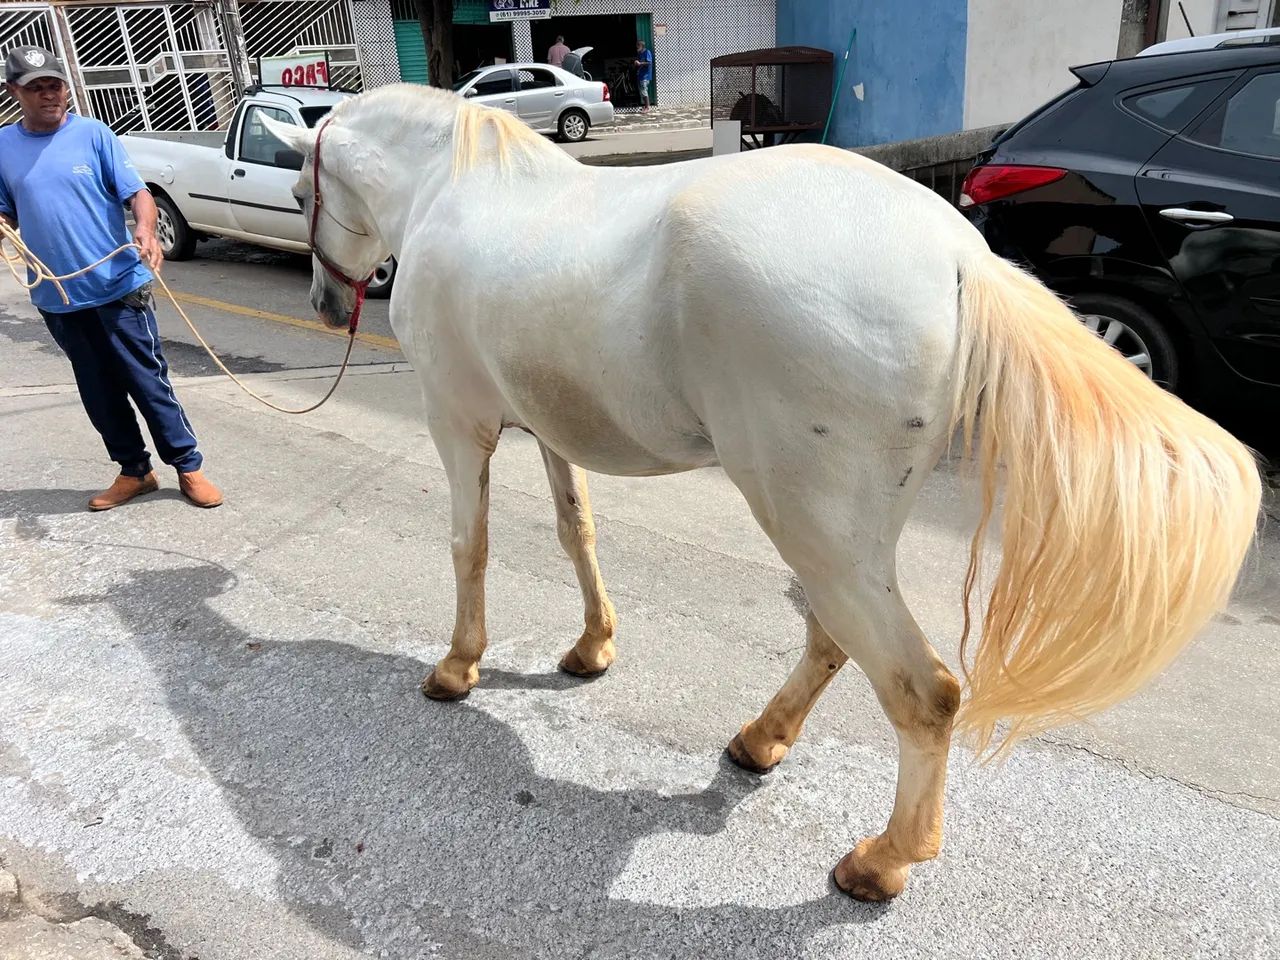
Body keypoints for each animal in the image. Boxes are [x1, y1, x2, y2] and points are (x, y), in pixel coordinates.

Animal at [260, 85, 1262, 902]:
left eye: (303, 195)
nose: (323, 301)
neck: (450, 189)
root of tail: (956, 255)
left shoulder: (457, 422)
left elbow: (470, 546)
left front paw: (457, 667)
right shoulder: (548, 431)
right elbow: (576, 532)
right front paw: (591, 648)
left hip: (809, 522)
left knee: (924, 690)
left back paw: (883, 861)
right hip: (840, 535)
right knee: (833, 639)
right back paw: (761, 740)